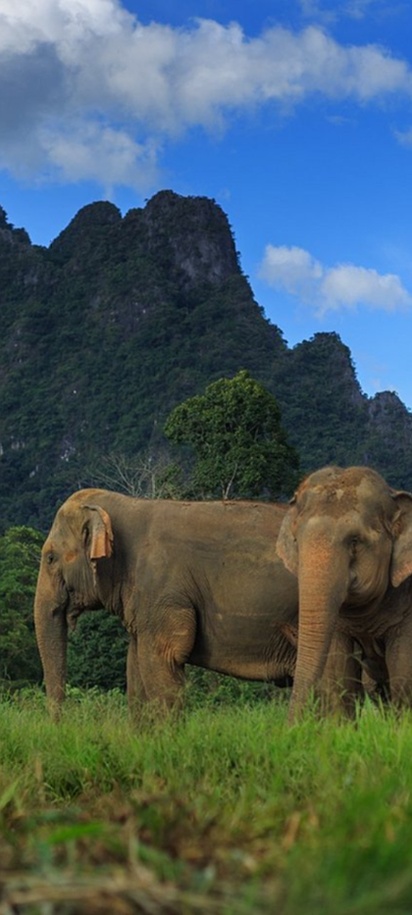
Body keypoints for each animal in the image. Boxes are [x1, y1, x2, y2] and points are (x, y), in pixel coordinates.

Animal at [34, 488, 304, 719]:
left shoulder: (162, 591)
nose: (61, 723)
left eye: (50, 558)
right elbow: (135, 667)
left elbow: (163, 658)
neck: (127, 504)